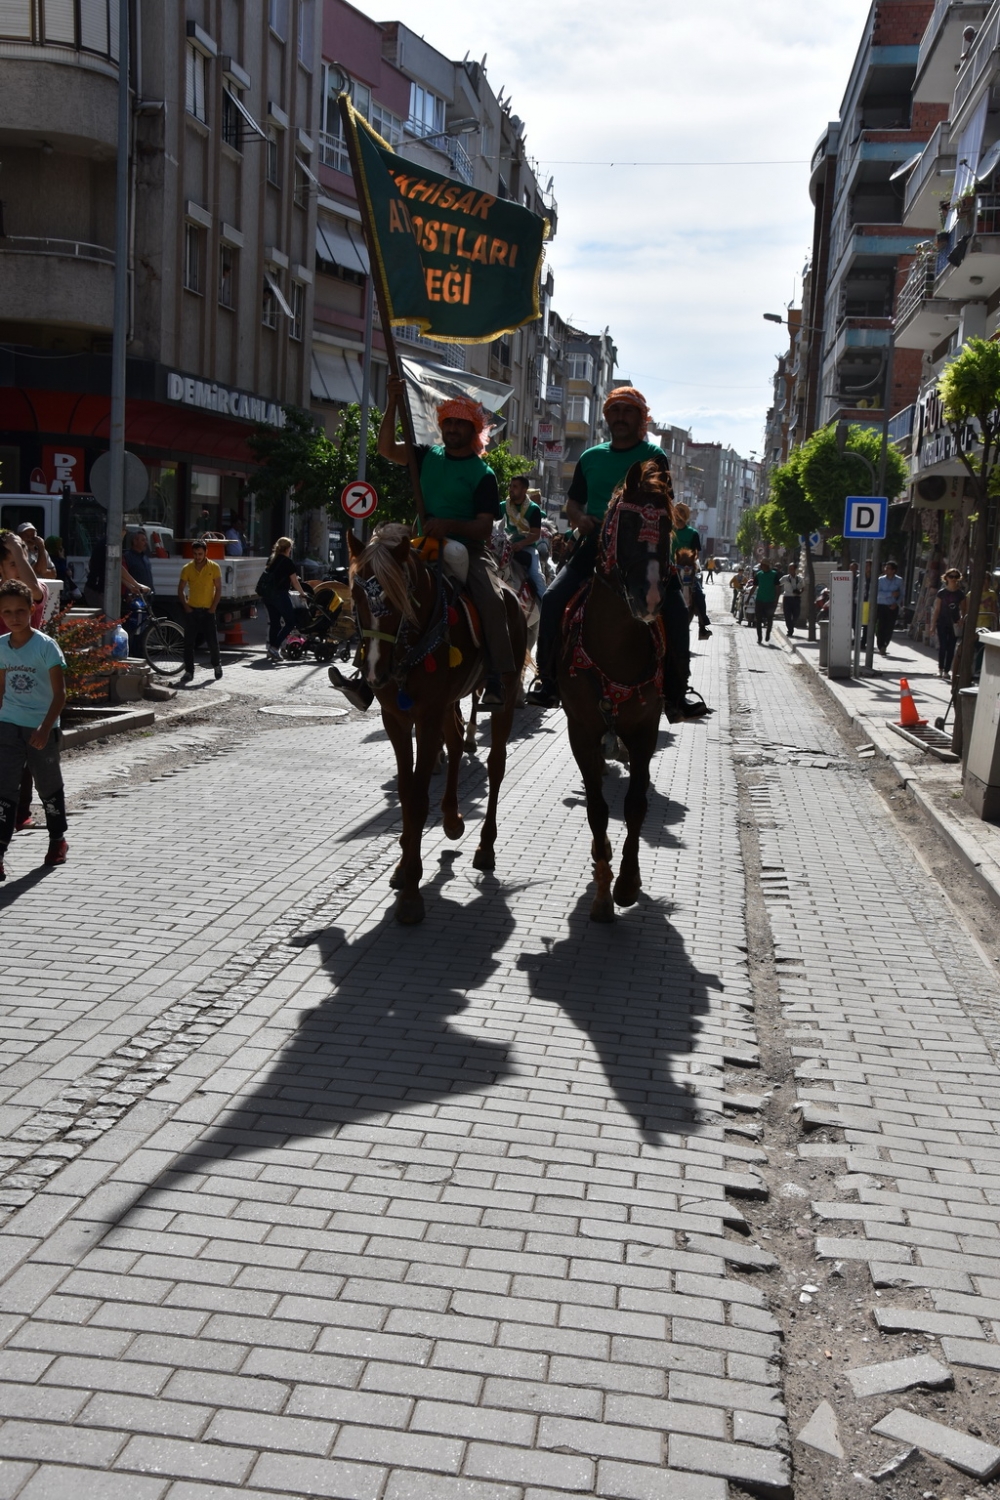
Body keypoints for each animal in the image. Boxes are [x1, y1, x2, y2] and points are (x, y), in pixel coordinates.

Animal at [347, 528, 527, 924]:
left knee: (496, 764)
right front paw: (402, 867)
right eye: (355, 594)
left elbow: (416, 798)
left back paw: (485, 846)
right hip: (448, 703)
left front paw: (411, 893)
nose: (374, 672)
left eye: (397, 596)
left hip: (505, 695)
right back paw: (452, 818)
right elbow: (404, 791)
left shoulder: (426, 718)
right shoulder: (396, 719)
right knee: (457, 742)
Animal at [554, 462, 689, 918]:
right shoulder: (581, 730)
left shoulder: (644, 729)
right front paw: (602, 887)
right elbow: (597, 809)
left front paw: (627, 883)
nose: (651, 596)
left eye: (666, 528)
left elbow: (635, 806)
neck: (614, 646)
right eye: (624, 526)